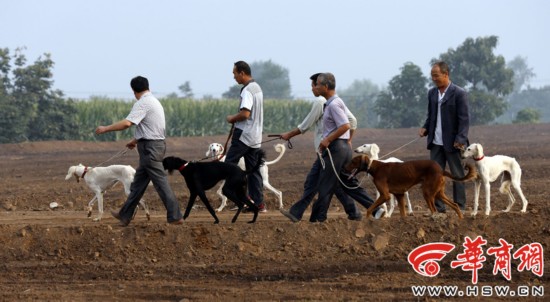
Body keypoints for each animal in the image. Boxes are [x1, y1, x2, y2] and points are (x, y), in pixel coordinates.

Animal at [348, 155, 476, 218]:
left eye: (353, 161)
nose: (344, 167)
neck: (375, 167)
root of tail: (440, 169)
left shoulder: (385, 195)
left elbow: (369, 209)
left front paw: (367, 222)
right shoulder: (399, 195)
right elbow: (402, 214)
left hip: (427, 193)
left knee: (434, 210)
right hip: (438, 193)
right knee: (454, 205)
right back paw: (460, 220)